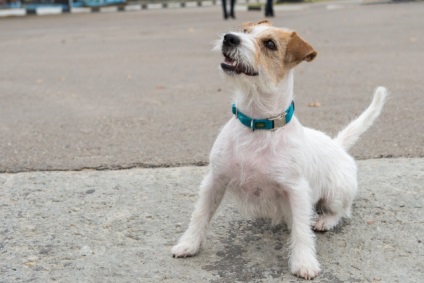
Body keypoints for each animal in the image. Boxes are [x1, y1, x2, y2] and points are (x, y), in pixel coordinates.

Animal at [171, 21, 388, 280]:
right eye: (245, 31)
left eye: (270, 44)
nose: (229, 38)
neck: (257, 124)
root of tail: (336, 144)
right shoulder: (215, 180)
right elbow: (200, 215)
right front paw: (188, 244)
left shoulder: (296, 190)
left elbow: (302, 232)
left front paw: (304, 262)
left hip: (337, 193)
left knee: (342, 212)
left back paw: (324, 221)